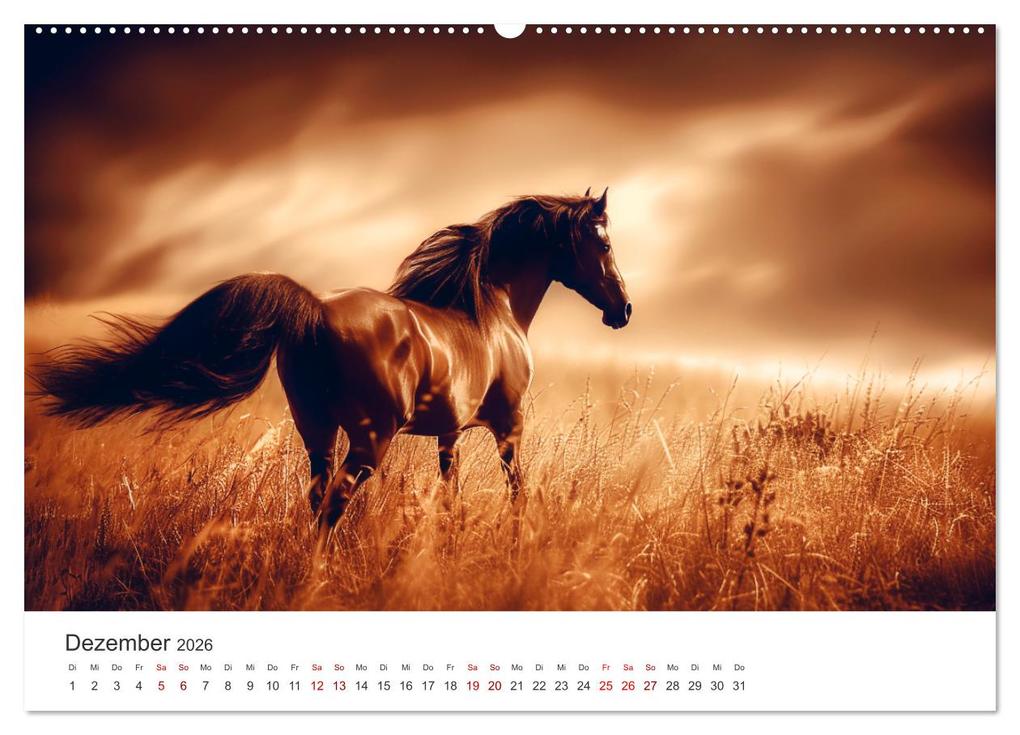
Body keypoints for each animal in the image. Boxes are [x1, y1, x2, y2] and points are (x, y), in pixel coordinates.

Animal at [32, 188, 631, 528]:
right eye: (603, 244)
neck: (491, 308)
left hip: (317, 431)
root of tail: (315, 310)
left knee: (316, 500)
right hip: (370, 440)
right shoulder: (509, 422)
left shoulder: (450, 431)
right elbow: (517, 489)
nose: (623, 309)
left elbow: (451, 494)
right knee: (332, 508)